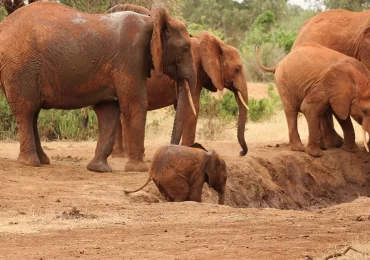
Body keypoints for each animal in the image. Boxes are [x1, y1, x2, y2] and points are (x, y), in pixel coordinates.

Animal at [0, 3, 197, 173]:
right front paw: (139, 169)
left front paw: (99, 169)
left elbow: (108, 111)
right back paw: (30, 163)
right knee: (27, 110)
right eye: (186, 49)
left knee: (33, 112)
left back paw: (42, 161)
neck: (150, 21)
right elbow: (135, 105)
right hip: (20, 67)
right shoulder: (130, 58)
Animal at [113, 30, 249, 156]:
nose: (241, 152)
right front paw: (190, 148)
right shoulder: (195, 69)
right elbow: (193, 108)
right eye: (237, 69)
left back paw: (119, 154)